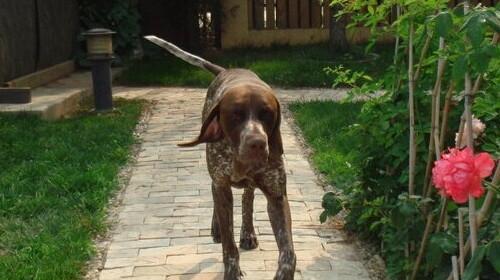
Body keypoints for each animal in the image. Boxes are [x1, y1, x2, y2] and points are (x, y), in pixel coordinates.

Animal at [144, 36, 296, 278]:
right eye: (235, 114)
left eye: (267, 113)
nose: (257, 143)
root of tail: (226, 70)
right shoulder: (222, 186)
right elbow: (229, 246)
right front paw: (232, 271)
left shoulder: (277, 196)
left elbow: (288, 253)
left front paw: (283, 272)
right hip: (217, 179)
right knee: (216, 197)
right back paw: (216, 227)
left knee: (247, 199)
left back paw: (248, 232)